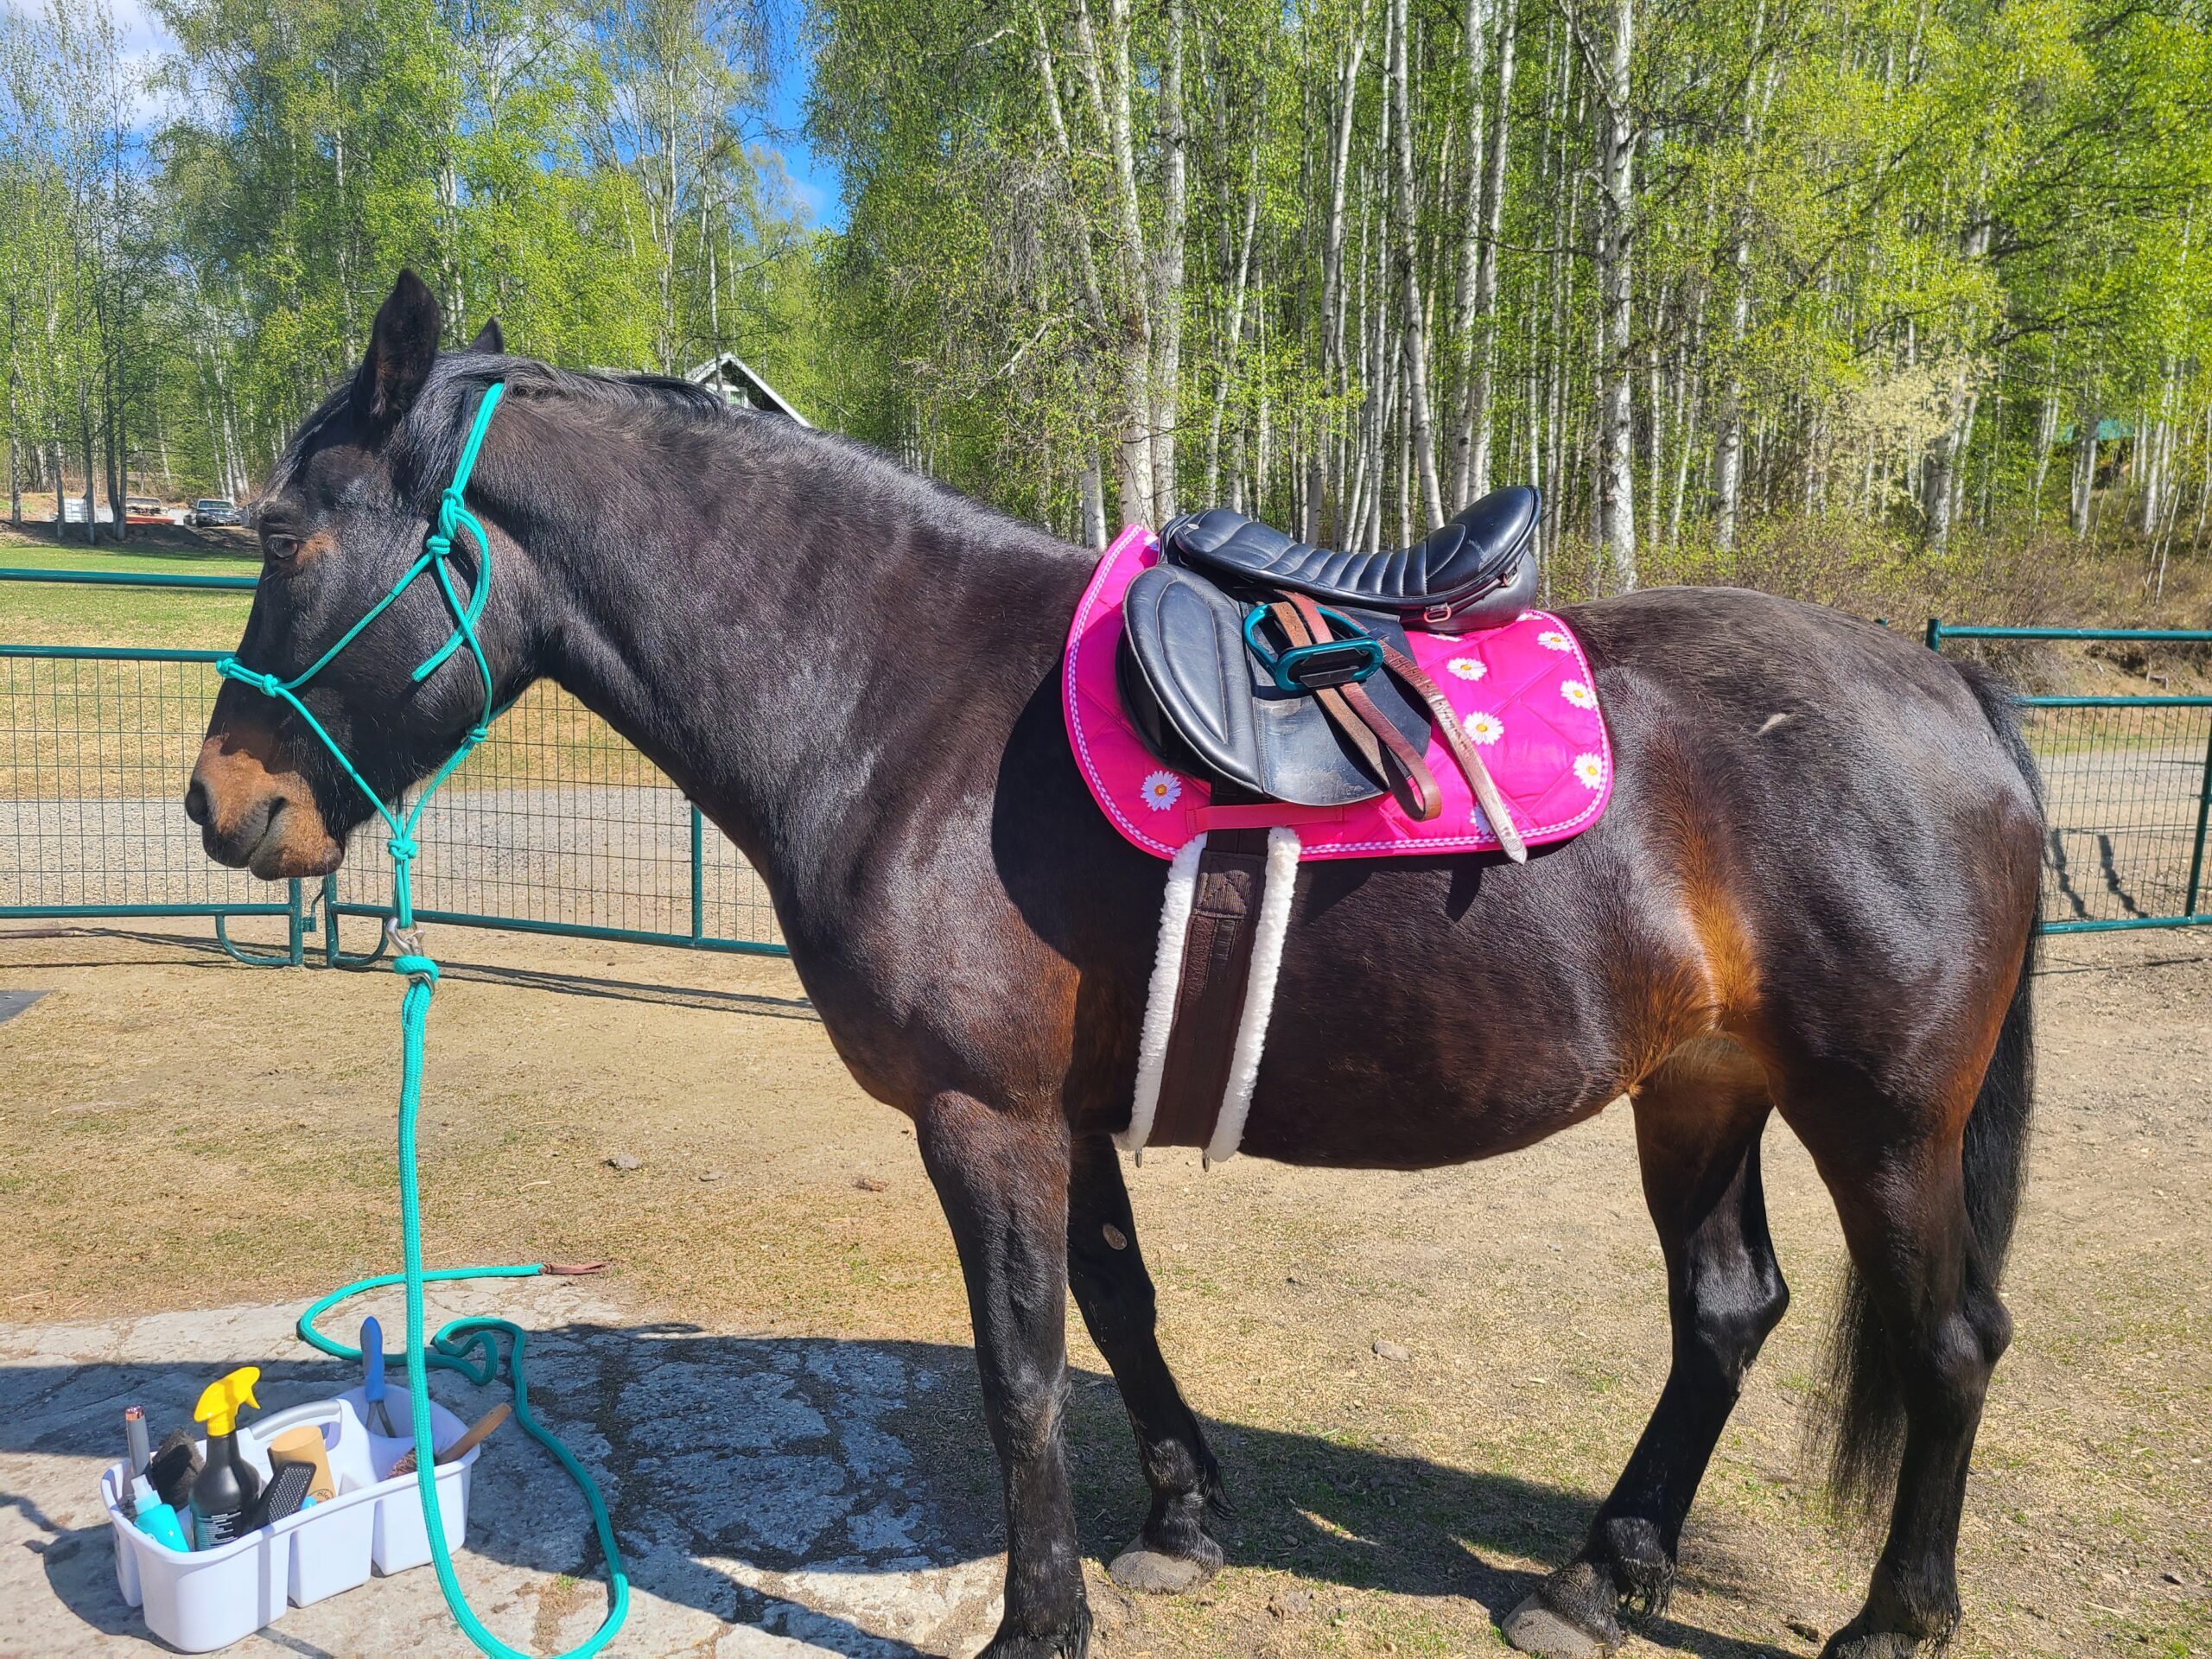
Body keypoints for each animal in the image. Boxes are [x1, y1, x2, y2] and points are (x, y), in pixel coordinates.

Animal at [186, 272, 2042, 1659]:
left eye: (281, 539)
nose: (222, 802)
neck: (900, 695)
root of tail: (1949, 690)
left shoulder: (981, 1116)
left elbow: (1019, 1368)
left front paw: (1040, 1618)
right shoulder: (1064, 1115)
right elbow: (1117, 1306)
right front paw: (1182, 1524)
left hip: (1883, 1120)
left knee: (1951, 1339)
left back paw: (1895, 1616)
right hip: (1705, 1092)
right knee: (1727, 1312)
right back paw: (1597, 1579)